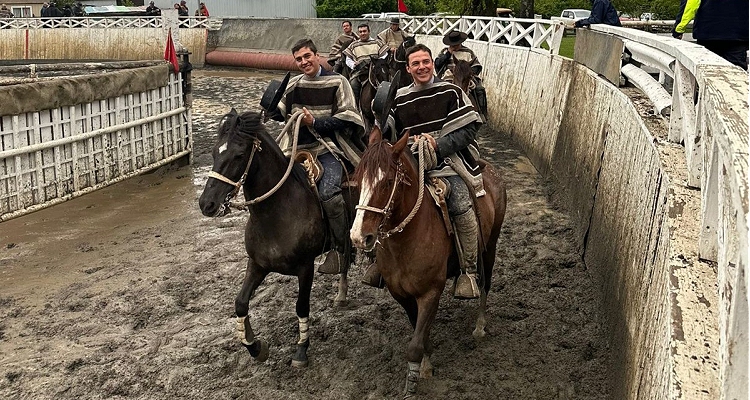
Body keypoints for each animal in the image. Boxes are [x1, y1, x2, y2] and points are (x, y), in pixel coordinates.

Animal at [198, 109, 354, 368]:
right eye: (213, 152)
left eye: (239, 155)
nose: (206, 204)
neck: (277, 212)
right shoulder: (257, 264)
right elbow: (240, 303)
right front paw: (255, 347)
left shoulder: (305, 267)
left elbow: (301, 306)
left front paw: (301, 349)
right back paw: (341, 296)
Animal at [352, 128, 512, 396]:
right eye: (358, 179)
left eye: (387, 182)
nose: (359, 236)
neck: (407, 241)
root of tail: (489, 168)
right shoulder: (401, 295)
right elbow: (419, 329)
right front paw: (427, 360)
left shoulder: (430, 292)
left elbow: (415, 343)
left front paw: (416, 378)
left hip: (490, 246)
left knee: (486, 284)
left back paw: (479, 325)